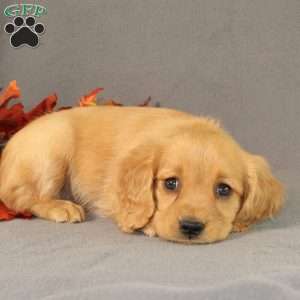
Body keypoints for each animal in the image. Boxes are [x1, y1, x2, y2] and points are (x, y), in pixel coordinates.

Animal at [0, 106, 284, 243]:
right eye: (171, 183)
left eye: (224, 189)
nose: (191, 228)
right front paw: (147, 224)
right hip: (53, 148)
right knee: (19, 196)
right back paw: (61, 206)